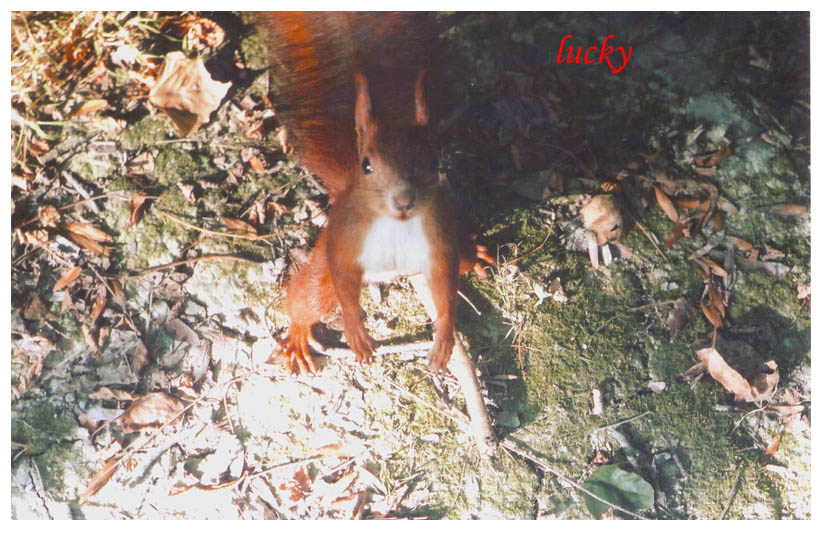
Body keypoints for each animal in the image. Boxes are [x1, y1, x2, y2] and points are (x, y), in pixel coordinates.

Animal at [255, 12, 493, 374]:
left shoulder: (439, 242)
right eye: (368, 165)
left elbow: (447, 286)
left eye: (433, 161)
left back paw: (474, 252)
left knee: (461, 261)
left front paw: (444, 338)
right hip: (329, 259)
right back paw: (297, 335)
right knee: (306, 298)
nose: (403, 199)